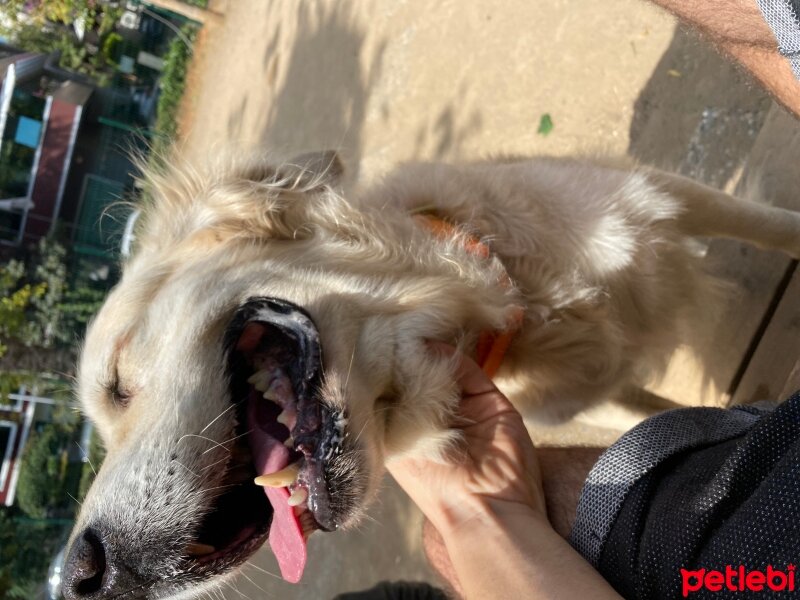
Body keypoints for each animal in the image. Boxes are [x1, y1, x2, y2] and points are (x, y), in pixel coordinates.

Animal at [61, 152, 800, 596]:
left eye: (116, 381)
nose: (78, 576)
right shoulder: (591, 399)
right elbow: (644, 412)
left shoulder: (665, 197)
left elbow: (773, 225)